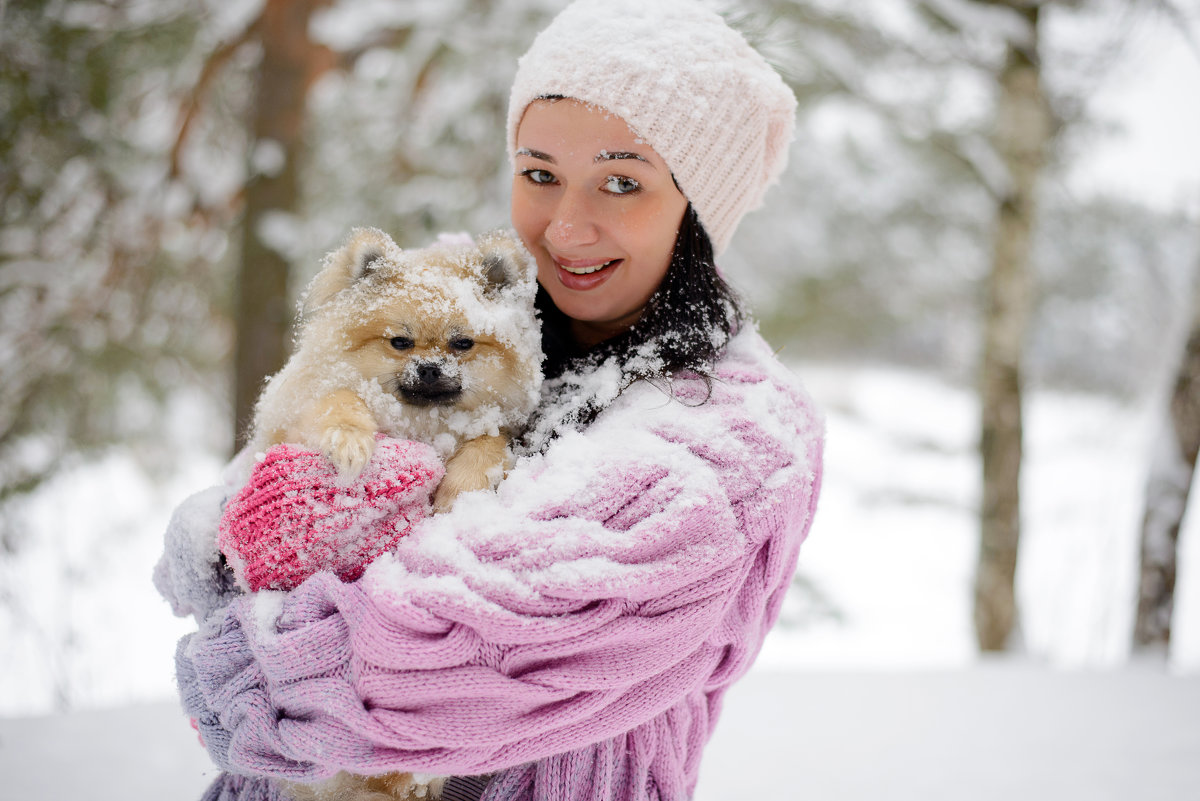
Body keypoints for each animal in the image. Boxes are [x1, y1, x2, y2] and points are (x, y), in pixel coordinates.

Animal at [243, 226, 544, 801]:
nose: (429, 367)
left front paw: (458, 490)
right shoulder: (304, 416)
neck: (423, 423)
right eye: (399, 342)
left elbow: (488, 441)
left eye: (462, 343)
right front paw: (351, 442)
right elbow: (341, 401)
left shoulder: (496, 430)